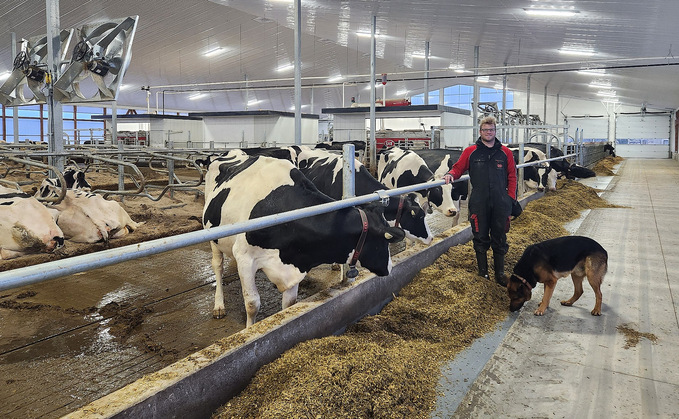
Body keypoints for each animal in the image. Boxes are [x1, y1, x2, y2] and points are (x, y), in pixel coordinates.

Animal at [199, 151, 406, 328]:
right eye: (383, 240)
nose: (390, 267)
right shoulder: (244, 258)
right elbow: (252, 304)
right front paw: (250, 330)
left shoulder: (295, 264)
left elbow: (289, 303)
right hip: (212, 236)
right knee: (217, 267)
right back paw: (219, 306)